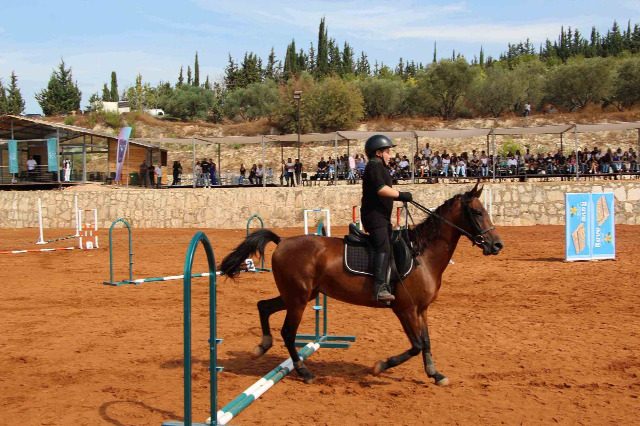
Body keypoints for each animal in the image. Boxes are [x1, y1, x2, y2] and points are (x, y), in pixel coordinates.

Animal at [218, 183, 502, 386]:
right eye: (478, 212)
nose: (497, 245)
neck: (421, 254)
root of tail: (283, 241)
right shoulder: (405, 310)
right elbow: (417, 345)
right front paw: (381, 366)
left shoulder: (421, 310)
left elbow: (427, 342)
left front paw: (435, 374)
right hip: (298, 299)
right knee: (288, 332)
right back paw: (304, 372)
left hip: (299, 295)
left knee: (263, 306)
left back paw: (262, 347)